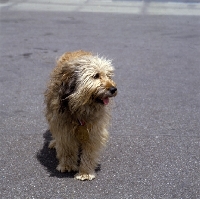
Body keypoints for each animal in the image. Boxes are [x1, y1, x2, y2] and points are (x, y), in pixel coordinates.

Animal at [45, 49, 117, 180]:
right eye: (96, 76)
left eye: (108, 76)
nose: (113, 89)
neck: (81, 106)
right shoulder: (63, 126)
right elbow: (66, 145)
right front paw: (67, 165)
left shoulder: (95, 129)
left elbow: (89, 151)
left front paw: (85, 172)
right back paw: (54, 143)